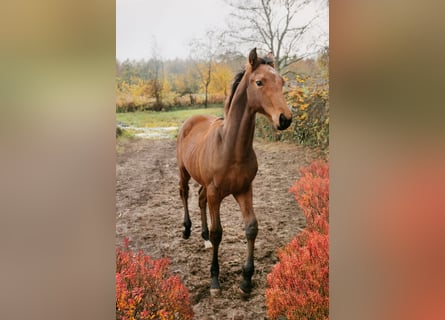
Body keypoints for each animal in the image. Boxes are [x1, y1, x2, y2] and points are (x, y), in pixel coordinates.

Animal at [175, 48, 294, 296]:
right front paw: (214, 280)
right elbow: (218, 232)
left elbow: (251, 228)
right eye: (259, 82)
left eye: (282, 82)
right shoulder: (216, 193)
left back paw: (203, 238)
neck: (232, 148)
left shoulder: (244, 189)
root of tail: (191, 120)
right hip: (183, 171)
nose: (285, 118)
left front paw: (246, 279)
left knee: (199, 198)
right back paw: (187, 230)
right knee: (184, 193)